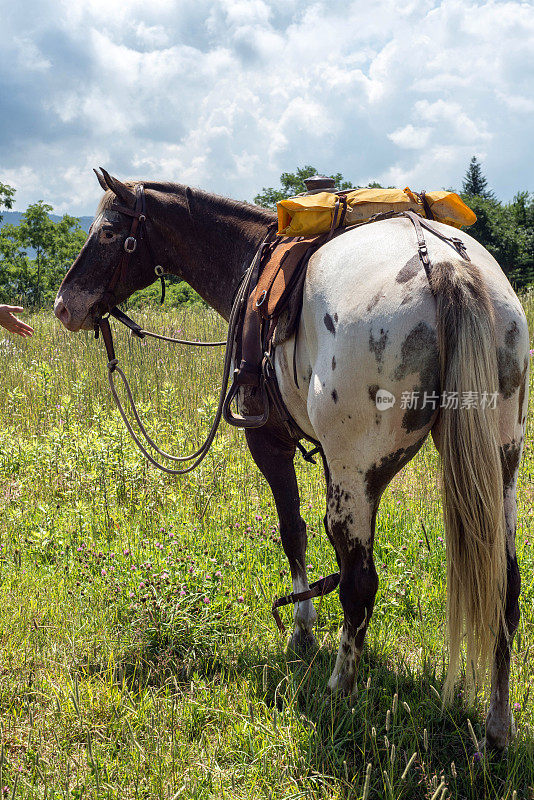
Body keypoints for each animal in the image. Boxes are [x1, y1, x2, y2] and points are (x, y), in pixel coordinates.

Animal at [55, 169, 532, 752]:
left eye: (106, 232)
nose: (64, 306)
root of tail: (443, 265)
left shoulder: (270, 443)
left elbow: (294, 532)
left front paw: (303, 628)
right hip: (498, 471)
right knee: (505, 591)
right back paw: (497, 726)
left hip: (359, 473)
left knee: (360, 585)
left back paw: (340, 687)